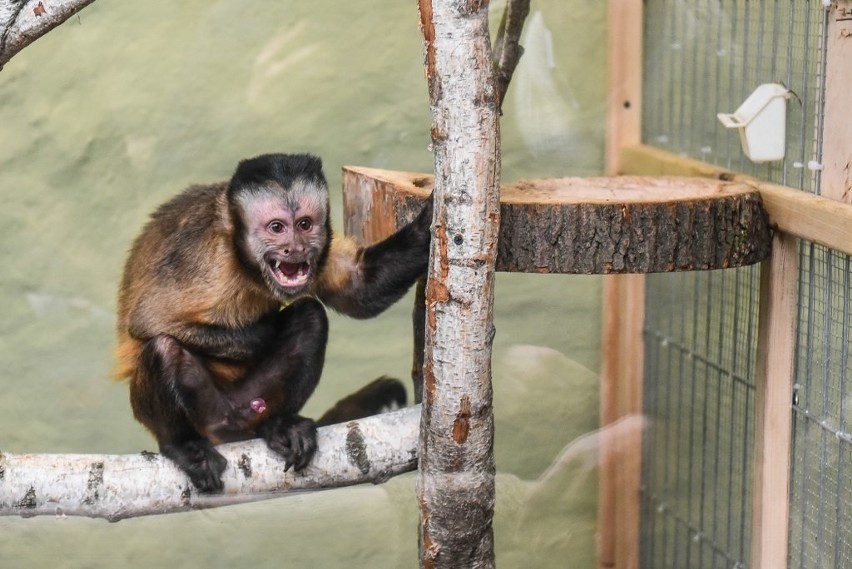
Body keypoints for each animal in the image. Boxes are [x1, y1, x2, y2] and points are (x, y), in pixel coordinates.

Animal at [115, 153, 432, 490]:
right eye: (277, 227)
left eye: (305, 224)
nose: (295, 248)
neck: (249, 270)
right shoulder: (205, 259)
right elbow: (148, 321)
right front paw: (261, 331)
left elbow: (359, 289)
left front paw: (426, 226)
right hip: (208, 414)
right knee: (163, 347)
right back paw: (182, 446)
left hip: (254, 400)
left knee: (312, 315)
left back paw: (277, 426)